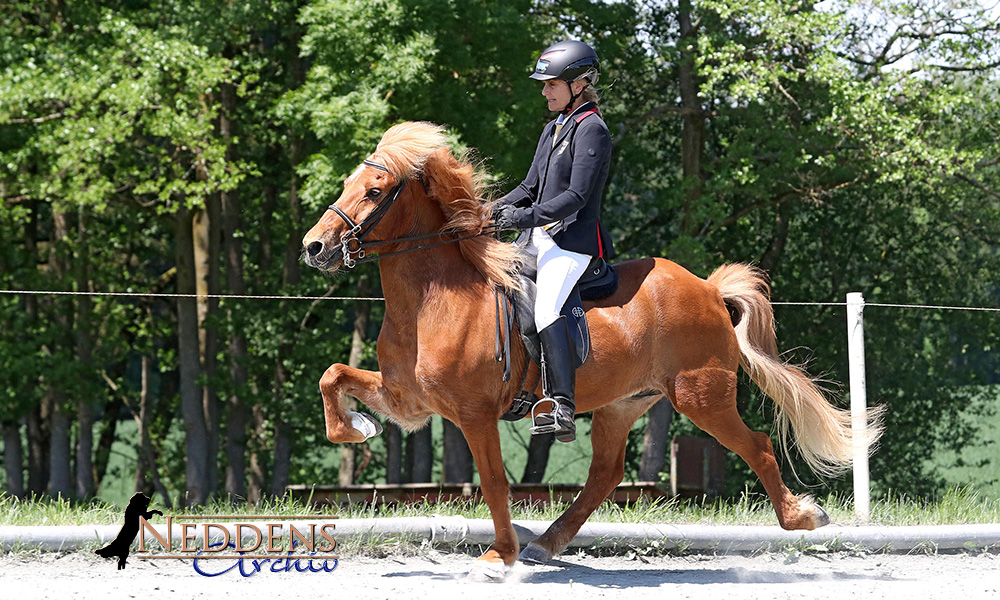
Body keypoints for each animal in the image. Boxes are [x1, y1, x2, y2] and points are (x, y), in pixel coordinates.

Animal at [300, 122, 880, 580]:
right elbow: (332, 376)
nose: (314, 247)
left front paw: (498, 556)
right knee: (605, 474)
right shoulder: (410, 401)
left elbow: (494, 483)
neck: (432, 299)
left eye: (375, 191)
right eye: (348, 184)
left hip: (701, 397)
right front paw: (357, 427)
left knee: (756, 445)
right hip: (623, 404)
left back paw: (803, 518)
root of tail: (709, 289)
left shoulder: (474, 413)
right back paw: (545, 544)